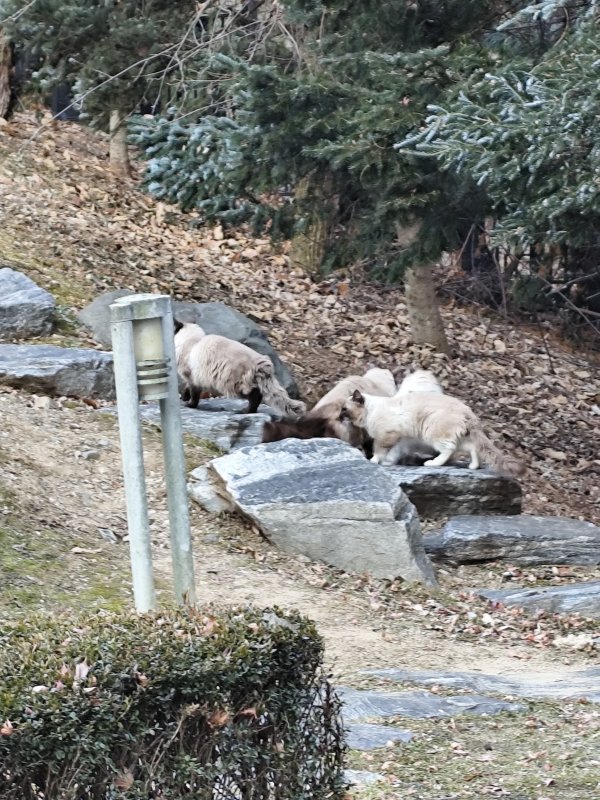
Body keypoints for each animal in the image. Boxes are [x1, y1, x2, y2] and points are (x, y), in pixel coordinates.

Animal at [172, 318, 304, 418]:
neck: (192, 340)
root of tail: (261, 361)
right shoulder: (191, 379)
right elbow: (187, 388)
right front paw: (184, 398)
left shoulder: (192, 378)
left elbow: (193, 394)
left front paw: (189, 404)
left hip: (232, 385)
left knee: (255, 396)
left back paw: (245, 411)